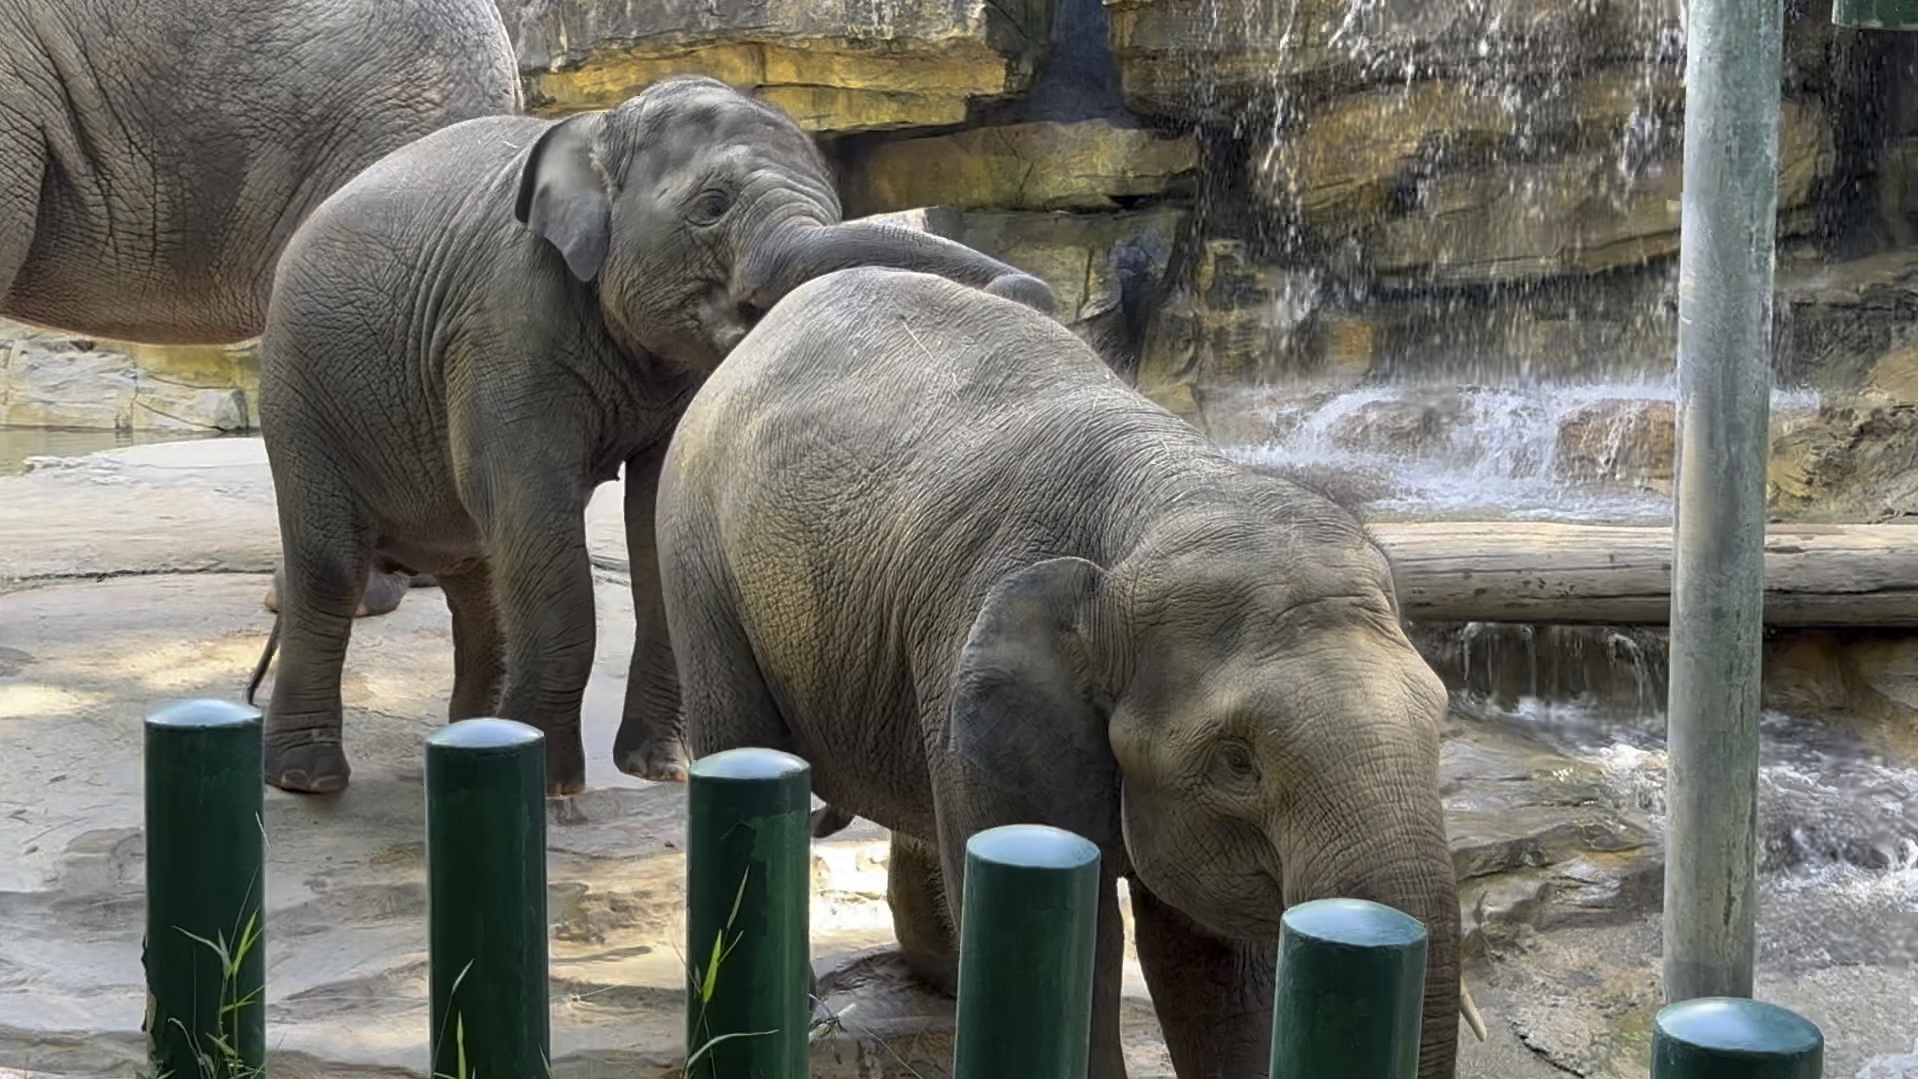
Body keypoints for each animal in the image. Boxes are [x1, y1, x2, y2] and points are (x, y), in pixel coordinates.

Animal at [247, 76, 1058, 797]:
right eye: (713, 205)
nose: (1031, 291)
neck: (606, 120)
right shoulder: (504, 323)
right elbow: (522, 491)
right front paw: (553, 783)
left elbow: (652, 506)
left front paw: (660, 768)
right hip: (296, 391)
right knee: (333, 566)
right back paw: (309, 778)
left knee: (475, 577)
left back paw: (470, 743)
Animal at [648, 264, 1465, 1079]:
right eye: (1238, 761)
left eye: (1440, 720)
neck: (1172, 490)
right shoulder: (966, 644)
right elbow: (1087, 941)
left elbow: (1218, 965)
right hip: (696, 554)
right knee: (742, 737)